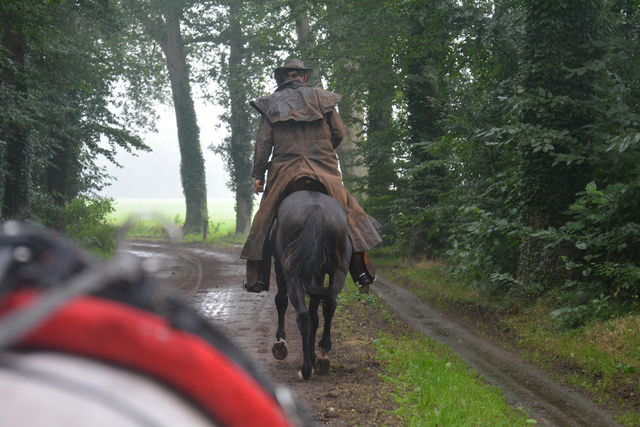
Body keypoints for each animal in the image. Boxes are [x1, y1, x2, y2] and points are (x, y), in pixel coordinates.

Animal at [270, 191, 350, 382]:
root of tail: (315, 208)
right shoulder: (319, 275)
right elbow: (316, 315)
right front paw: (315, 356)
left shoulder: (279, 267)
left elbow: (281, 301)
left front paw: (281, 342)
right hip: (338, 272)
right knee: (329, 306)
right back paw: (322, 355)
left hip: (292, 274)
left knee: (303, 316)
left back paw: (306, 369)